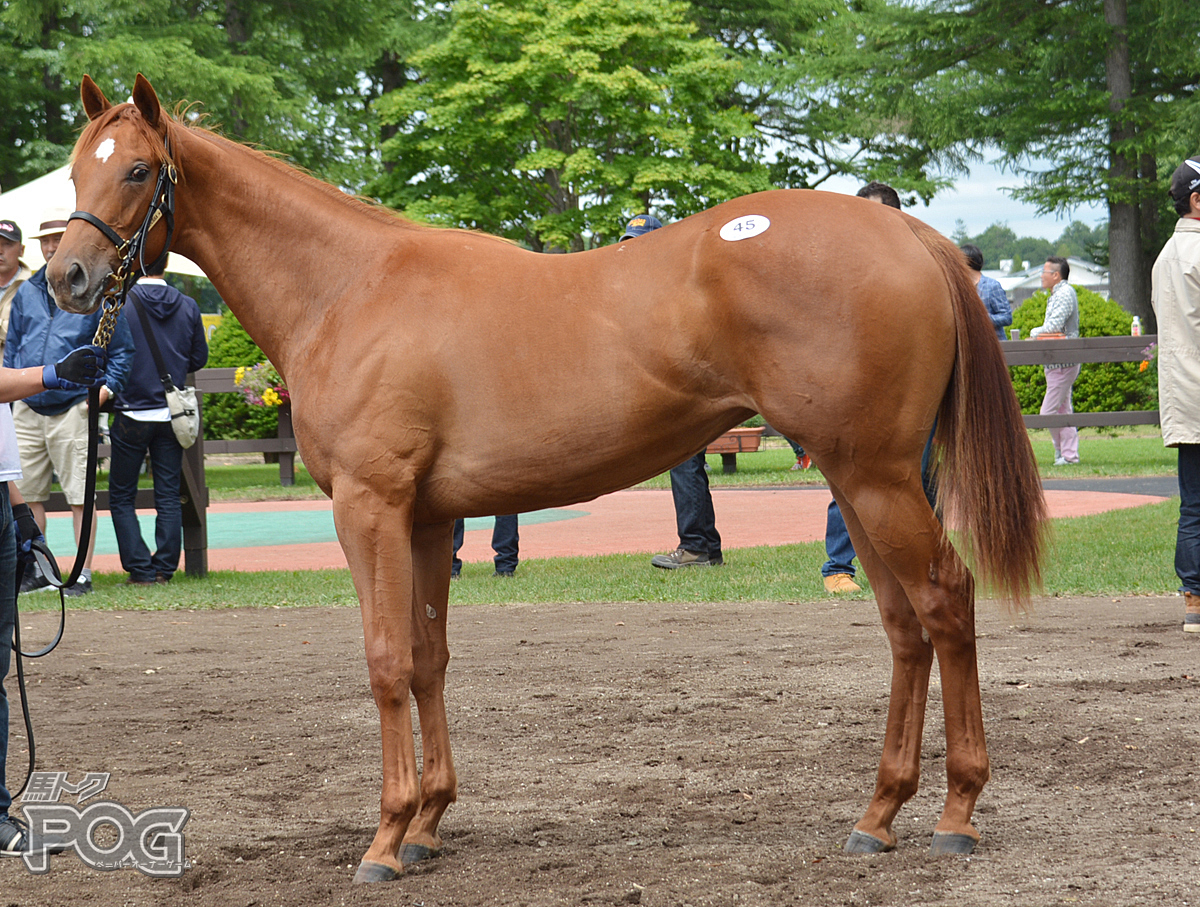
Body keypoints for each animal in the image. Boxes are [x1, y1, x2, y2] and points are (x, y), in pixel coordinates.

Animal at [49, 74, 1041, 883]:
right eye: (72, 171)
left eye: (137, 171)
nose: (67, 277)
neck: (350, 288)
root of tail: (904, 230)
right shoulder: (426, 520)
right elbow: (429, 658)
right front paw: (429, 824)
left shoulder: (371, 509)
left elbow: (384, 660)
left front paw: (384, 838)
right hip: (857, 476)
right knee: (904, 624)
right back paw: (878, 814)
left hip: (877, 477)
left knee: (945, 599)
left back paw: (957, 812)